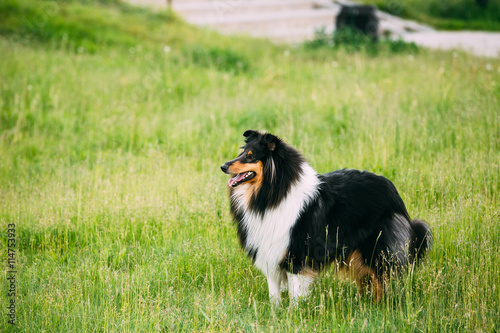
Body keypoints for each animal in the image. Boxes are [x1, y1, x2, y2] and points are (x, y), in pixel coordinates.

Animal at [221, 129, 432, 304]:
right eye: (242, 153)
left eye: (251, 156)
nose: (223, 166)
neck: (273, 193)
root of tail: (393, 192)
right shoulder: (270, 254)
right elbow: (274, 294)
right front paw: (275, 313)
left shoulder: (296, 255)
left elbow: (295, 293)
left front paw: (294, 315)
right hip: (355, 252)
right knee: (366, 280)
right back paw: (362, 304)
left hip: (375, 248)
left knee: (380, 280)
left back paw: (378, 307)